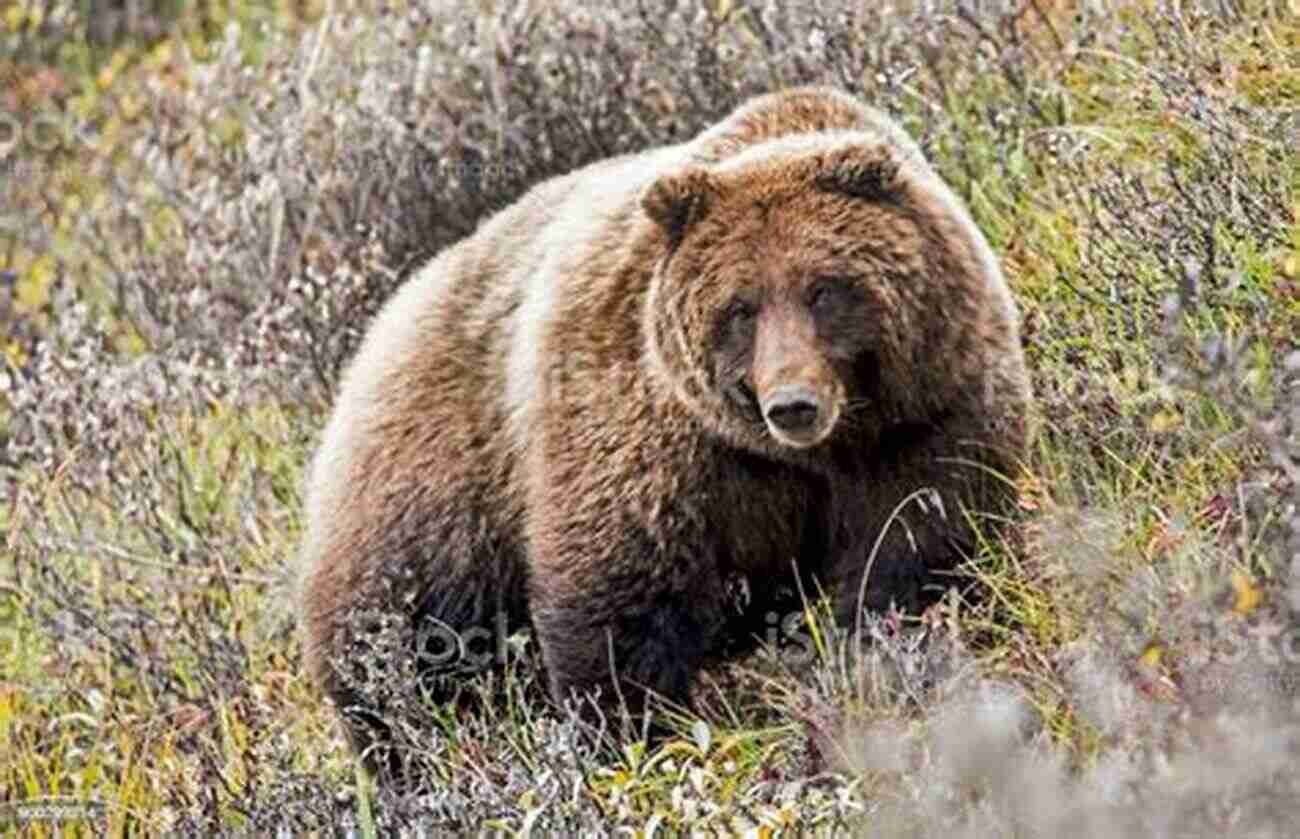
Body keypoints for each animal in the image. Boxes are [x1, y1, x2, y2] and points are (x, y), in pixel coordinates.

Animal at [299, 86, 1029, 780]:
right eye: (741, 307)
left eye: (825, 288)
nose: (793, 403)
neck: (815, 453)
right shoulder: (651, 431)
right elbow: (623, 594)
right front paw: (630, 735)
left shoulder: (926, 411)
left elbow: (916, 543)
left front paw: (881, 654)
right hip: (429, 500)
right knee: (405, 654)